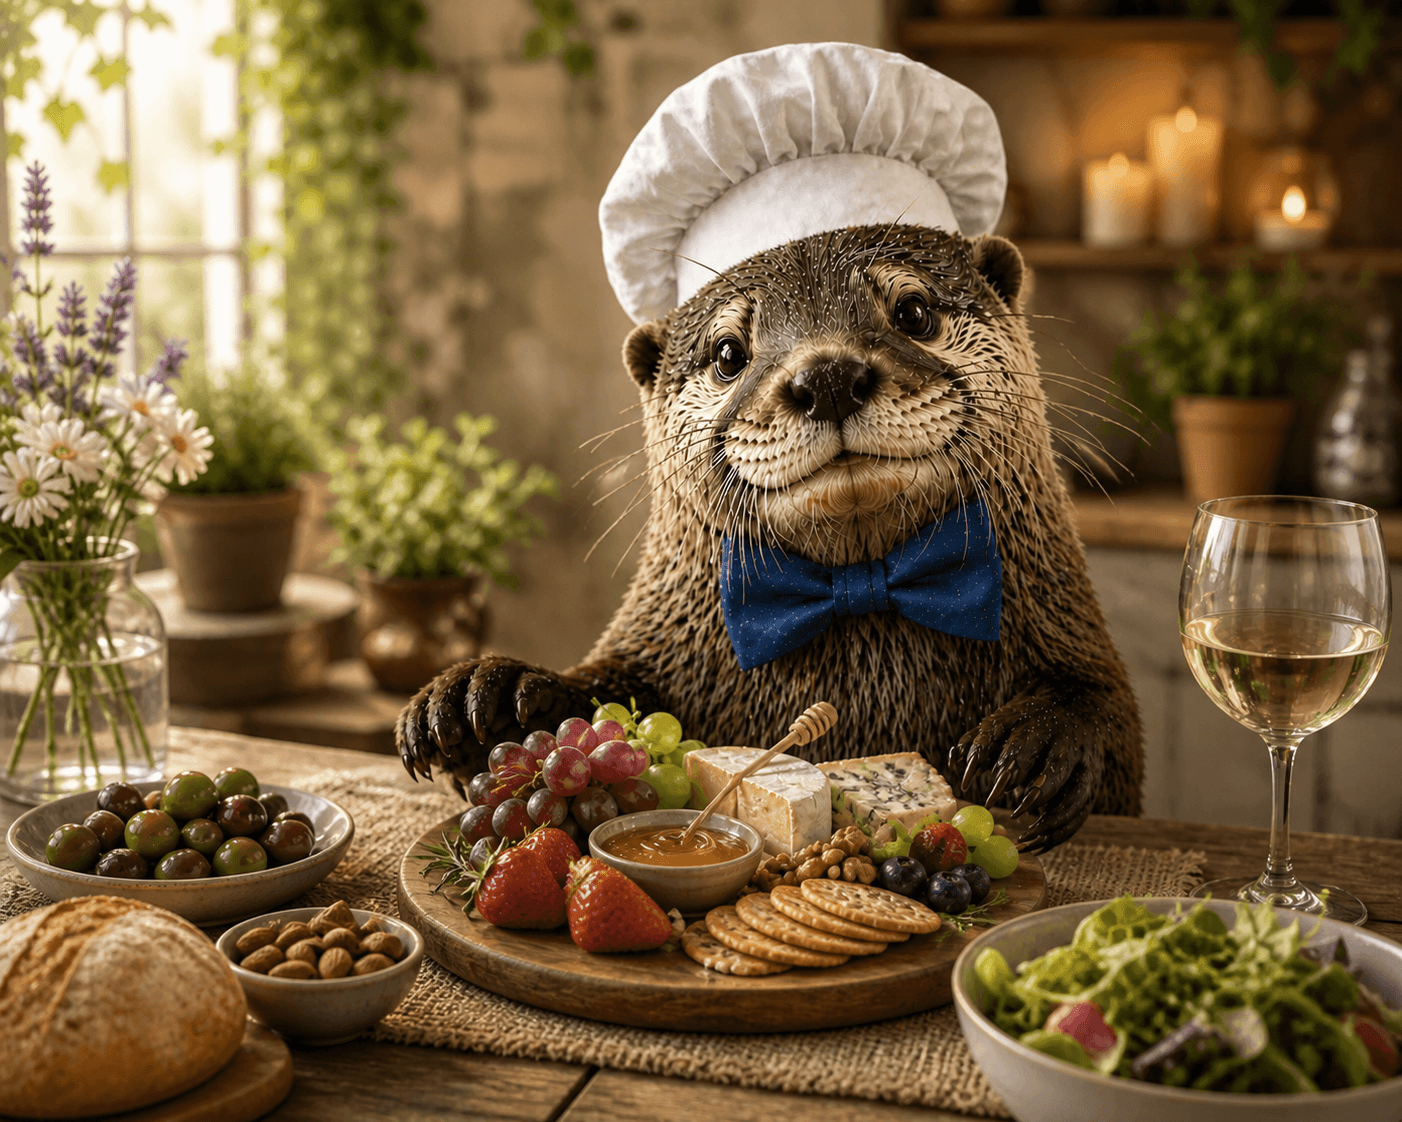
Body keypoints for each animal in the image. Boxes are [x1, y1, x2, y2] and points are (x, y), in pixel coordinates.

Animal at [396, 227, 1143, 851]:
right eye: (729, 353)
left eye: (913, 312)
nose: (828, 375)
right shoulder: (656, 651)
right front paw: (488, 699)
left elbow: (1104, 708)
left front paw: (1040, 739)